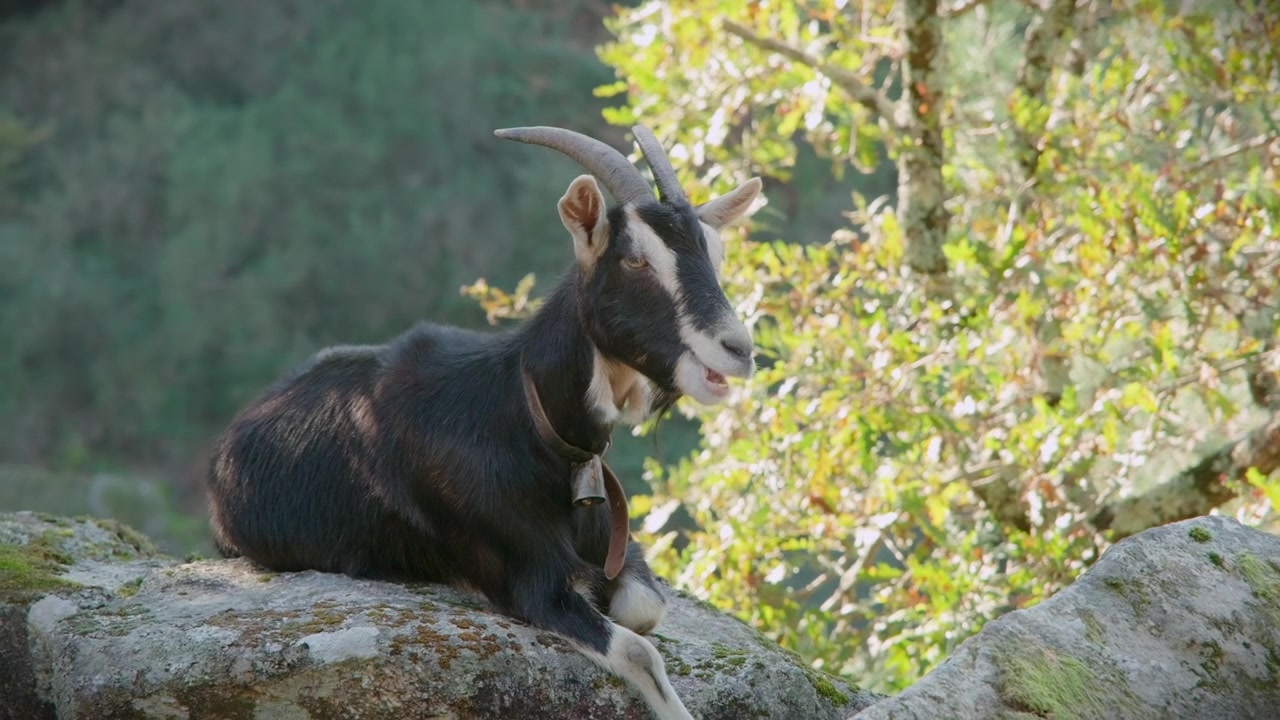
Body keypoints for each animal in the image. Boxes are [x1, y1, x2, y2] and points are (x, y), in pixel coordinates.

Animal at [205, 124, 762, 720]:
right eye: (635, 260)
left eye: (716, 253)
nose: (739, 349)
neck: (527, 420)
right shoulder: (530, 579)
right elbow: (639, 651)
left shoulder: (615, 551)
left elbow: (645, 608)